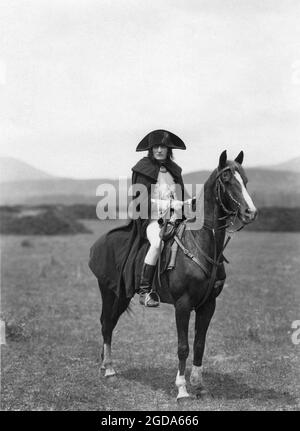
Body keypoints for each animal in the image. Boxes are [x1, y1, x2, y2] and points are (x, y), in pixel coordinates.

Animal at [90, 151, 256, 402]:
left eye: (245, 181)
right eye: (227, 180)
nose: (250, 213)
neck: (201, 244)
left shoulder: (209, 304)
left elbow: (199, 344)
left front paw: (199, 385)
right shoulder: (183, 305)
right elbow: (183, 347)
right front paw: (182, 389)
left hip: (121, 295)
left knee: (108, 323)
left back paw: (104, 365)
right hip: (110, 292)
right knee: (107, 324)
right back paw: (108, 369)